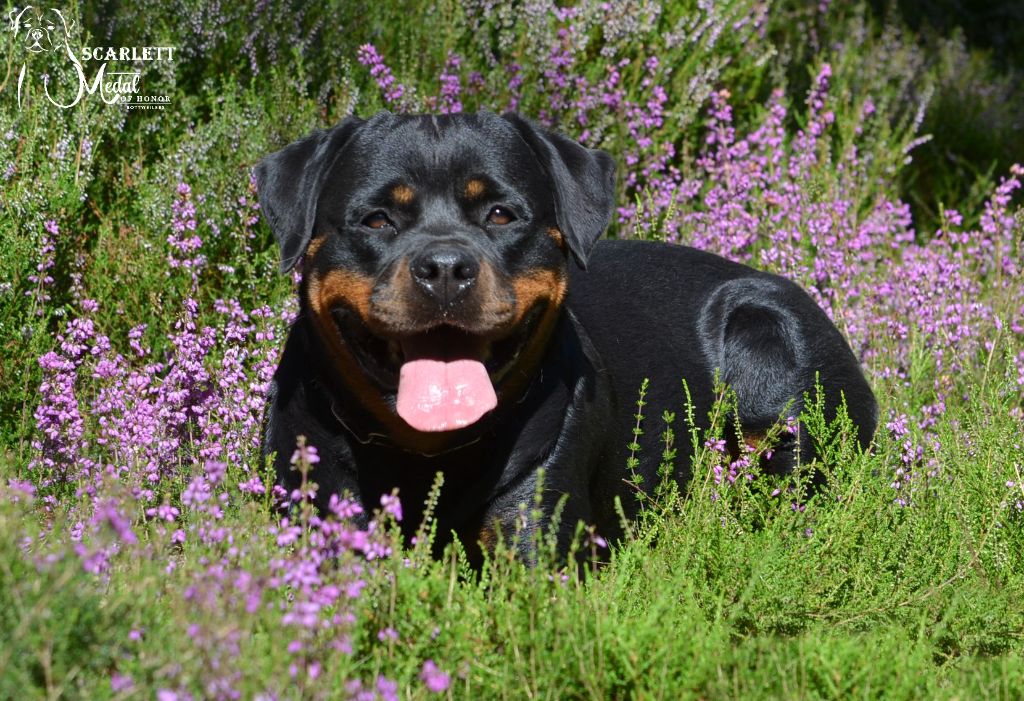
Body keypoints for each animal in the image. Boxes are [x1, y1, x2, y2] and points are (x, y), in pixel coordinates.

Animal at [258, 112, 880, 564]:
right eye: (377, 220)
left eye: (501, 214)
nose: (446, 269)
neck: (426, 451)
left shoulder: (535, 535)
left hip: (773, 354)